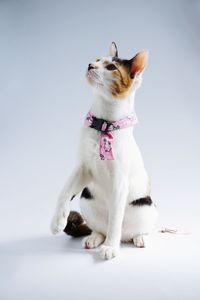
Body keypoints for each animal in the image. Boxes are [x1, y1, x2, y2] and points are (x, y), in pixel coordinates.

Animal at [51, 42, 158, 260]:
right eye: (97, 60)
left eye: (111, 68)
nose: (90, 65)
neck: (103, 124)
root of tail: (126, 238)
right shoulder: (83, 168)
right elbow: (64, 192)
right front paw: (57, 220)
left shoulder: (119, 181)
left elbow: (115, 219)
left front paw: (110, 247)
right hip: (86, 197)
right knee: (100, 229)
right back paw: (94, 238)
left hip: (147, 206)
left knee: (133, 229)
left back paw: (137, 239)